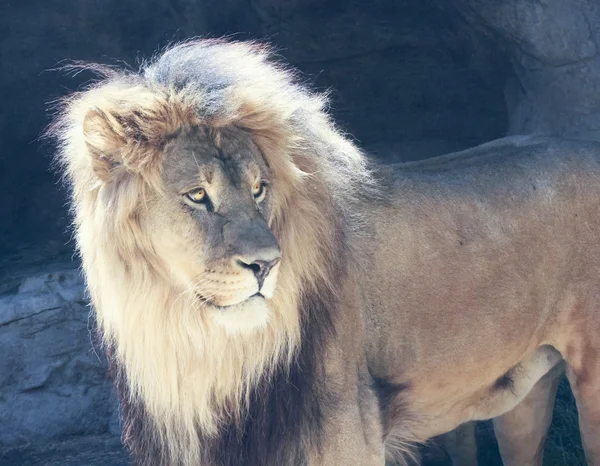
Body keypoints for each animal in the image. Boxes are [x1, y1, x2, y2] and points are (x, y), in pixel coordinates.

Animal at [50, 38, 600, 464]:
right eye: (197, 196)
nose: (266, 265)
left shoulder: (349, 441)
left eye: (259, 189)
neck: (196, 346)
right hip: (524, 396)